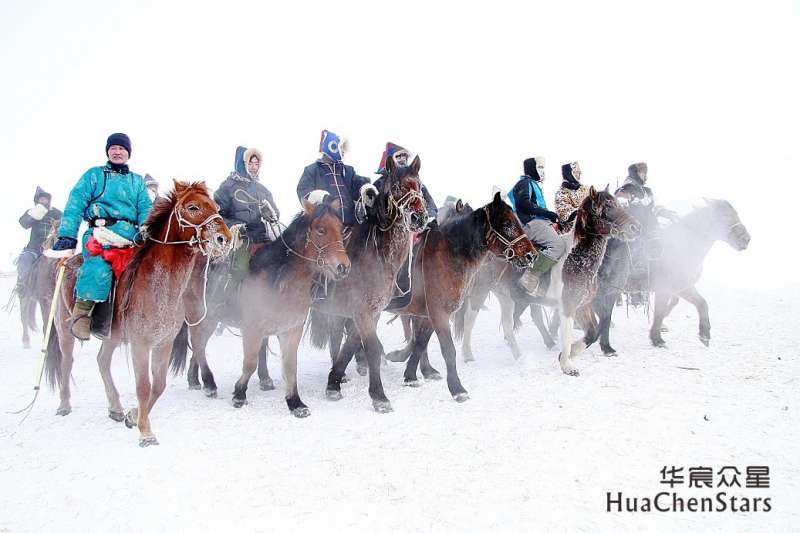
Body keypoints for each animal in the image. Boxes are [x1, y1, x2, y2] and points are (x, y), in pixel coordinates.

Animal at [46, 181, 230, 446]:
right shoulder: (140, 344)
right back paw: (64, 404)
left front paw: (133, 416)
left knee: (102, 361)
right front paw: (146, 432)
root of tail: (66, 263)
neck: (159, 286)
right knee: (67, 362)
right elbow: (143, 386)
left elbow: (158, 385)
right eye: (193, 207)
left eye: (215, 206)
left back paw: (115, 407)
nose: (224, 238)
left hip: (112, 336)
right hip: (64, 328)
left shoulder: (163, 342)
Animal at [172, 194, 350, 416]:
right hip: (200, 316)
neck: (280, 278)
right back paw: (209, 383)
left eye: (341, 228)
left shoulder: (291, 330)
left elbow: (290, 366)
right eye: (321, 230)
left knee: (199, 347)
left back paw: (195, 380)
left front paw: (295, 402)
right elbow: (250, 363)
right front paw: (239, 394)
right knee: (198, 345)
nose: (343, 267)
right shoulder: (252, 330)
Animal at [308, 154, 432, 412]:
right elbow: (372, 350)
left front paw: (333, 384)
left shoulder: (368, 313)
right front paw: (379, 397)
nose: (418, 218)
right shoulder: (363, 313)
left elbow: (350, 346)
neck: (376, 255)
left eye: (419, 185)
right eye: (397, 187)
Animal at [384, 190, 536, 394]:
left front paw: (412, 374)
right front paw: (456, 388)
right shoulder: (438, 312)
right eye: (506, 223)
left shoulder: (429, 313)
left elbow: (419, 342)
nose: (531, 255)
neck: (448, 255)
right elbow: (444, 347)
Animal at [552, 186, 640, 374]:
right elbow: (570, 332)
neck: (575, 259)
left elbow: (594, 331)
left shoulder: (586, 303)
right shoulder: (570, 303)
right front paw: (567, 365)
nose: (636, 228)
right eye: (608, 207)